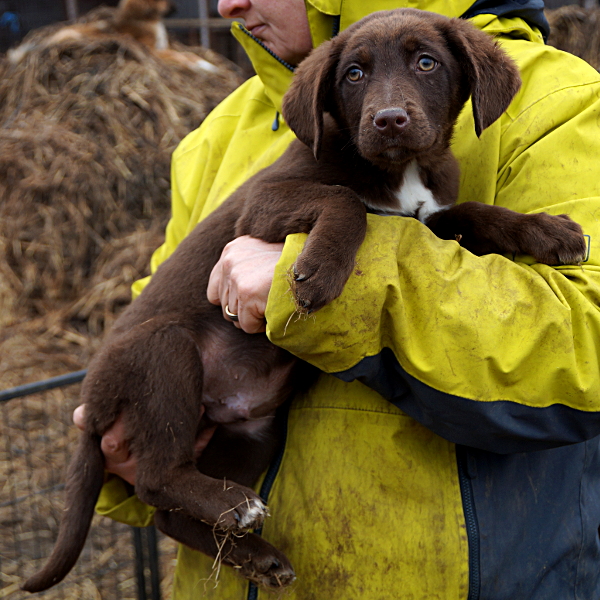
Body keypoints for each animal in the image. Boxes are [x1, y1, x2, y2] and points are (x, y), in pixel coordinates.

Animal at [23, 7, 584, 592]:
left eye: (427, 62)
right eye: (353, 74)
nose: (388, 120)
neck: (401, 172)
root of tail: (91, 404)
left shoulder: (431, 219)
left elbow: (474, 210)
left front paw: (549, 231)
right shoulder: (262, 203)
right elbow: (344, 200)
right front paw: (318, 273)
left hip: (252, 430)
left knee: (170, 518)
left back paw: (259, 556)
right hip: (165, 351)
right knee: (157, 478)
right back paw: (238, 507)